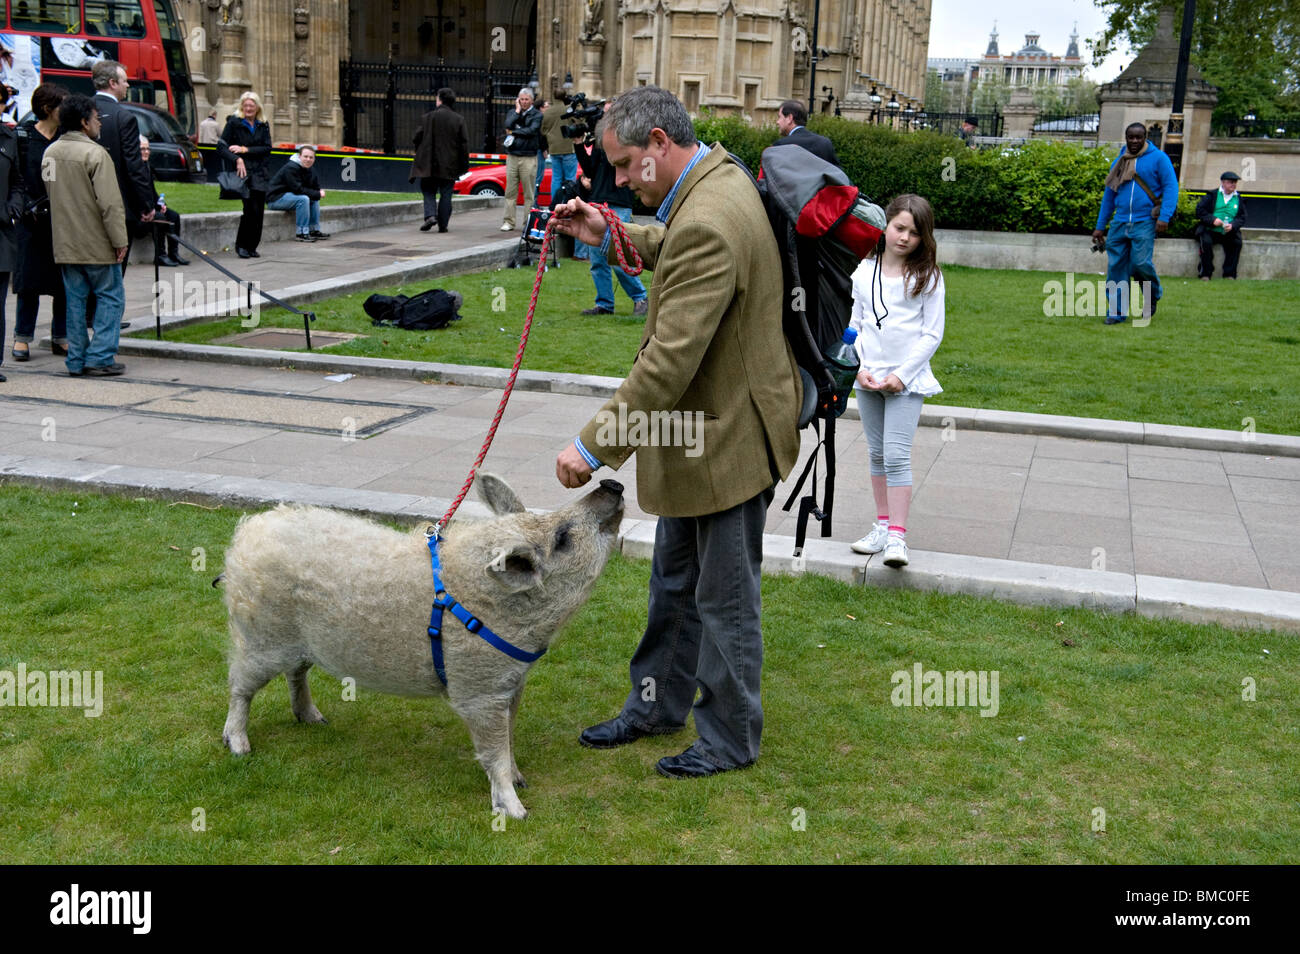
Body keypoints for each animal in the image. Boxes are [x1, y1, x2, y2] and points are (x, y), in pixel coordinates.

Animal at [219, 474, 625, 819]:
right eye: (563, 537)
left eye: (553, 525)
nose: (612, 482)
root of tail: (248, 532)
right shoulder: (478, 688)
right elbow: (494, 748)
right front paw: (517, 811)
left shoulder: (511, 682)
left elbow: (509, 735)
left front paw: (521, 779)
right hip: (260, 636)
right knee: (239, 685)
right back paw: (238, 746)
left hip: (299, 642)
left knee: (296, 672)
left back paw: (314, 719)